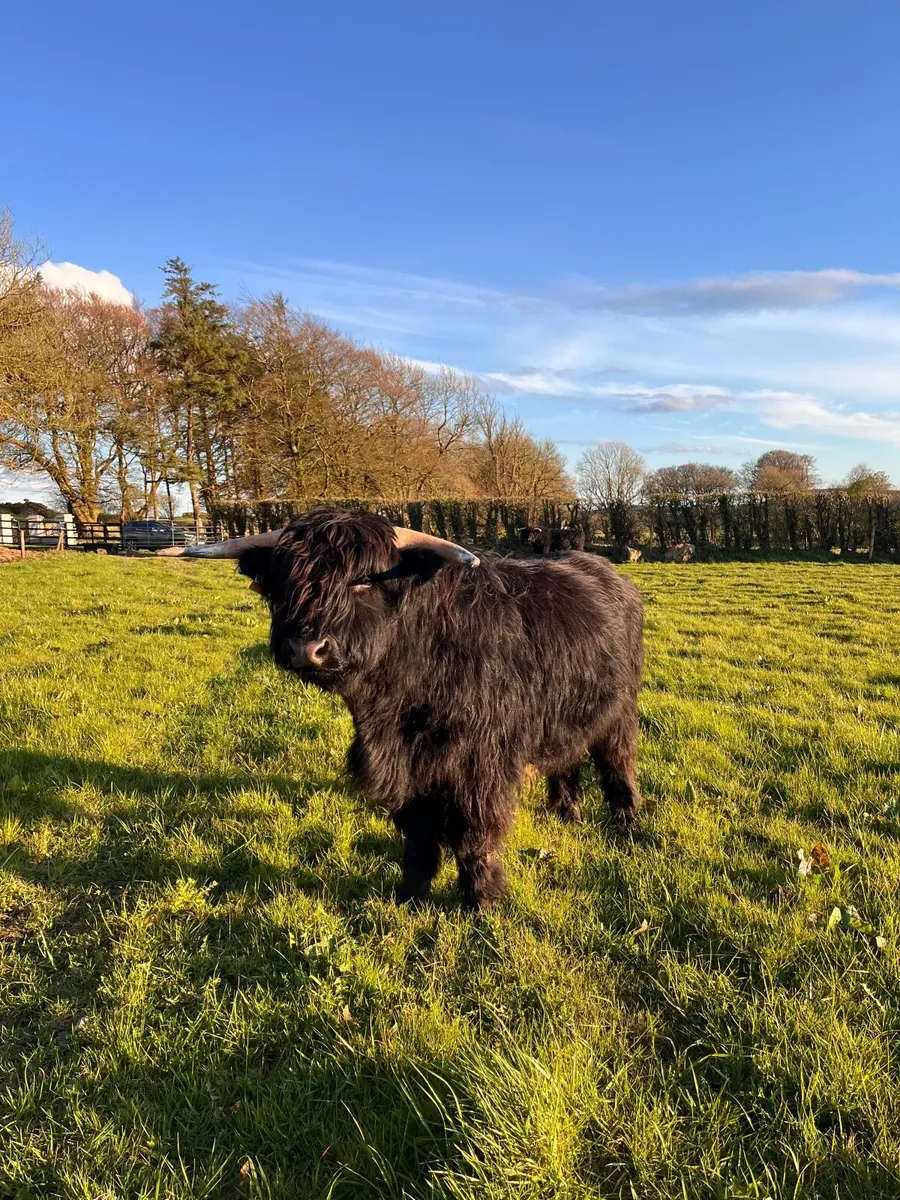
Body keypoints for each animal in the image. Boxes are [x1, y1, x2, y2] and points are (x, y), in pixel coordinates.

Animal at [160, 507, 644, 911]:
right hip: (566, 712)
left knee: (617, 763)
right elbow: (419, 834)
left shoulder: (480, 763)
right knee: (566, 759)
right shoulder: (408, 767)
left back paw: (625, 824)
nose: (304, 648)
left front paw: (482, 902)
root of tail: (603, 568)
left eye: (362, 580)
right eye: (284, 583)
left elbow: (473, 835)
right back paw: (568, 814)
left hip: (620, 711)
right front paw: (410, 896)